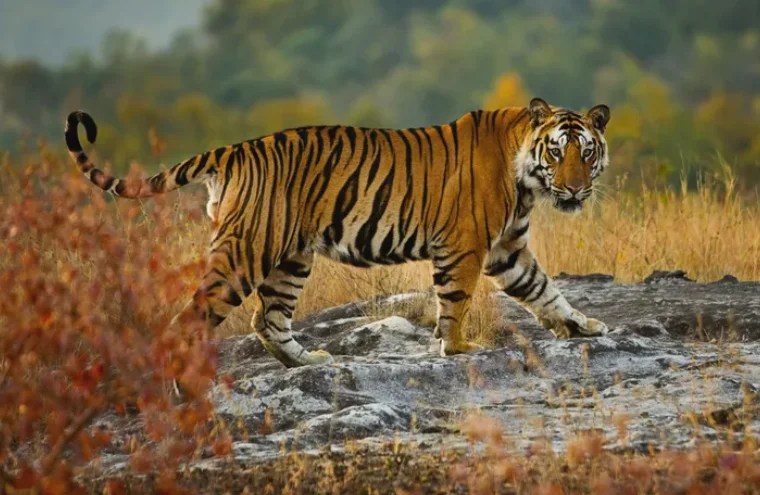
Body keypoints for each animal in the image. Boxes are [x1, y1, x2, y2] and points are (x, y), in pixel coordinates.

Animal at [65, 97, 611, 368]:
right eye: (557, 152)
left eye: (587, 153)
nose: (575, 189)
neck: (526, 180)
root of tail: (235, 149)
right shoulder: (465, 246)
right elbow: (455, 302)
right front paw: (457, 349)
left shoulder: (507, 248)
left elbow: (544, 289)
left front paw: (582, 326)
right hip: (246, 252)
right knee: (191, 319)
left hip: (290, 257)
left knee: (268, 319)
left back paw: (307, 361)